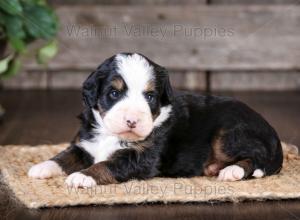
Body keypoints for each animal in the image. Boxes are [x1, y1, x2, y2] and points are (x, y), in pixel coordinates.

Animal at [27, 52, 282, 188]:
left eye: (149, 96)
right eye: (114, 93)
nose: (132, 120)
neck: (110, 134)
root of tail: (273, 134)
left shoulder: (142, 157)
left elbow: (107, 164)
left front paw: (83, 176)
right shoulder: (86, 143)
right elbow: (66, 155)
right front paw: (42, 167)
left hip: (229, 133)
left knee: (256, 157)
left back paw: (232, 171)